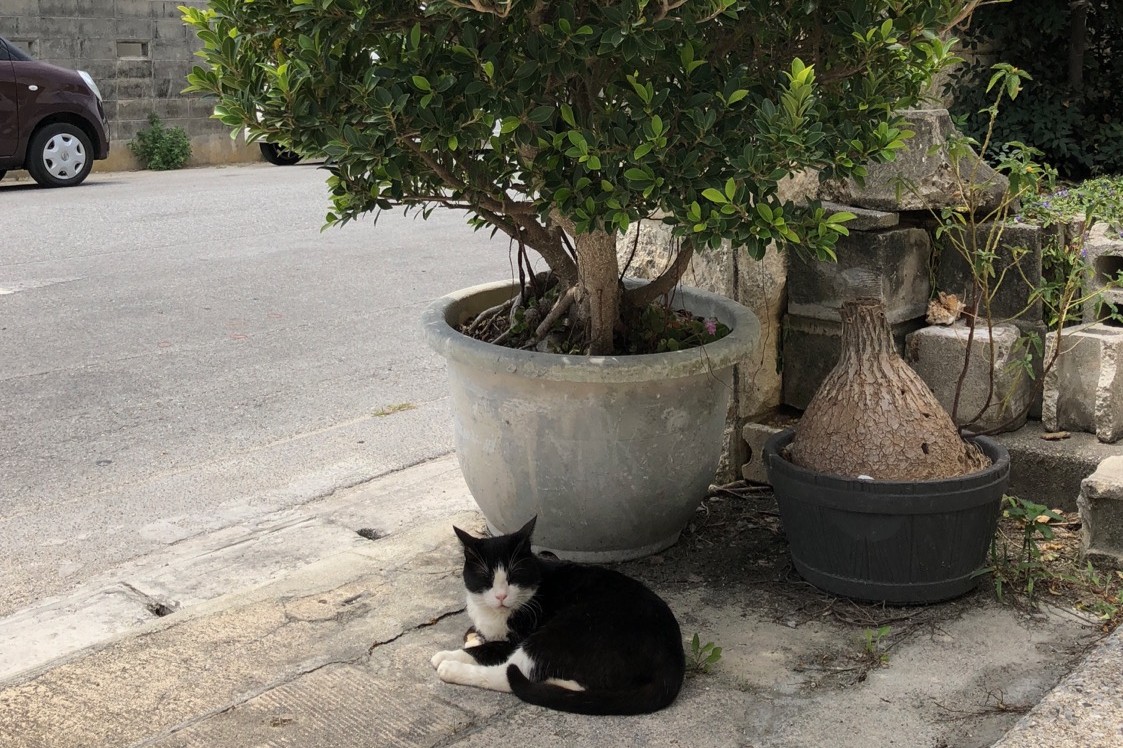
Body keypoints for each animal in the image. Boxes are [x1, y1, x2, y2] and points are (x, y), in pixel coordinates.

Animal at [430, 517, 686, 715]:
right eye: (487, 577)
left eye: (514, 575)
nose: (501, 596)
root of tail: (673, 657)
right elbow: (476, 634)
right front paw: (473, 636)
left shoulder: (516, 637)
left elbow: (487, 649)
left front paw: (447, 655)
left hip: (564, 630)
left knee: (510, 673)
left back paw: (453, 670)